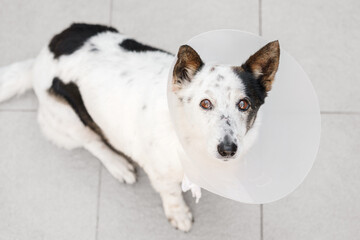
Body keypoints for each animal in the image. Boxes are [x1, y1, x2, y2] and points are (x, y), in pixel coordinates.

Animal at [0, 23, 280, 232]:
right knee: (92, 142)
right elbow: (172, 195)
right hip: (67, 119)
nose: (228, 150)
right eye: (205, 103)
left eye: (243, 104)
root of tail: (41, 57)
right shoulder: (161, 176)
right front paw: (179, 214)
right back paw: (118, 164)